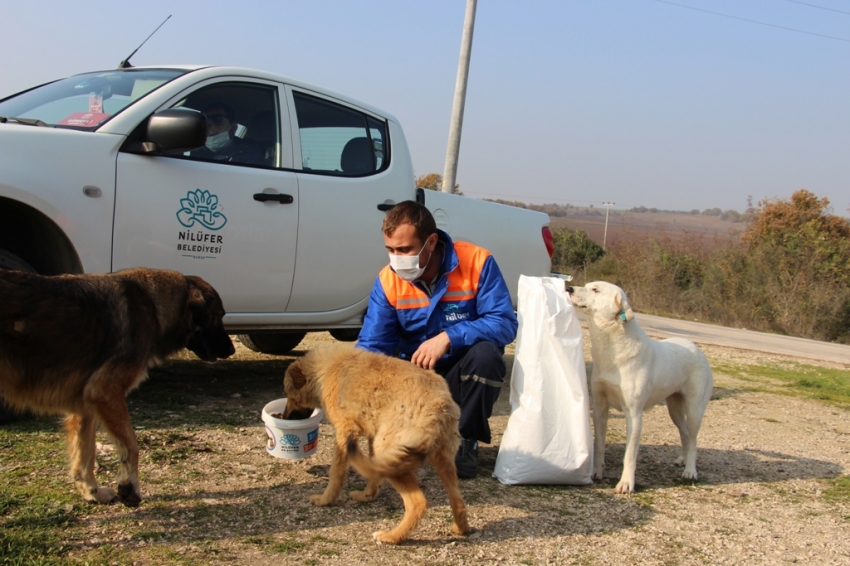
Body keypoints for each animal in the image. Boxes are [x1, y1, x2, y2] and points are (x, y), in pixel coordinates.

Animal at [0, 268, 235, 508]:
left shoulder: (86, 405)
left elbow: (86, 453)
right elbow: (131, 445)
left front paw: (92, 492)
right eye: (219, 315)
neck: (154, 304)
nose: (232, 349)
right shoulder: (106, 392)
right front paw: (129, 487)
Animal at [284, 346, 470, 544]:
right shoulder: (372, 437)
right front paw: (367, 496)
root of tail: (437, 406)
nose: (284, 417)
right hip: (441, 461)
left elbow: (336, 474)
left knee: (418, 504)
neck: (325, 370)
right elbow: (373, 474)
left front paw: (325, 500)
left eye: (288, 395)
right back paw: (460, 529)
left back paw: (392, 537)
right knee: (458, 502)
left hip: (392, 455)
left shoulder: (344, 433)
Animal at [568, 282, 712, 492]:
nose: (568, 288)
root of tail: (696, 347)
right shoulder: (600, 408)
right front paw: (596, 472)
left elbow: (629, 455)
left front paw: (626, 484)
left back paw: (690, 471)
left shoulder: (634, 414)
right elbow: (599, 444)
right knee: (684, 433)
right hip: (674, 408)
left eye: (596, 290)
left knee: (693, 439)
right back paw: (681, 460)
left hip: (694, 409)